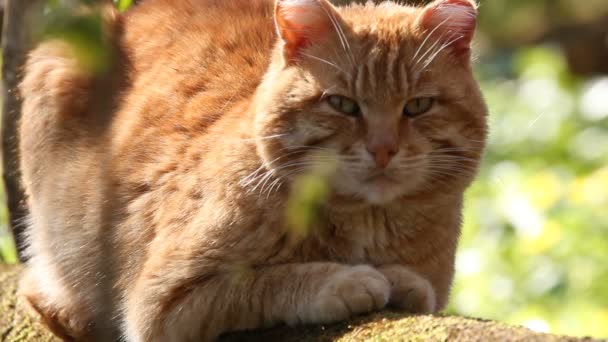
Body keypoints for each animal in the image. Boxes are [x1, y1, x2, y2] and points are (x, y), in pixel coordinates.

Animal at [16, 0, 486, 340]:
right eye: (343, 104)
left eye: (418, 106)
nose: (383, 149)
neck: (365, 223)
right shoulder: (165, 303)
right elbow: (272, 283)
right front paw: (346, 281)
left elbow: (421, 287)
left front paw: (402, 280)